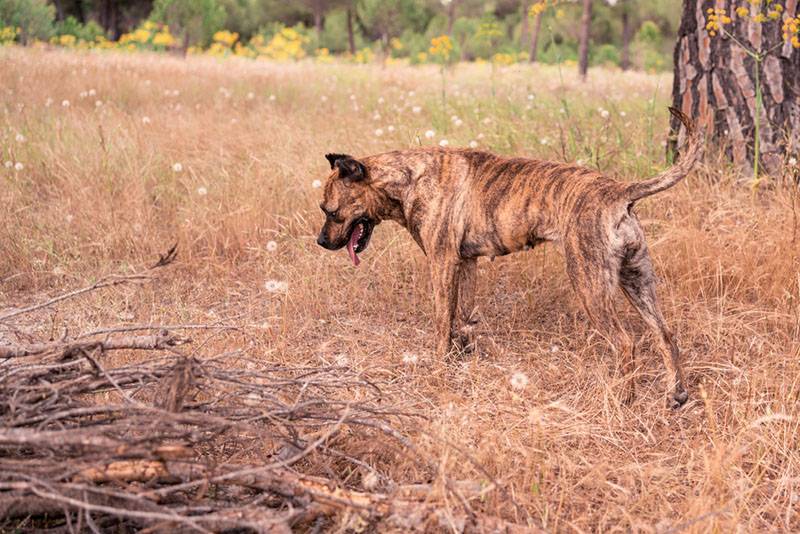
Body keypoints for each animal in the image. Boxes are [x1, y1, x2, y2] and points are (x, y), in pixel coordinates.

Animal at [318, 109, 700, 410]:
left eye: (330, 211)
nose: (320, 242)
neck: (408, 177)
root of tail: (619, 192)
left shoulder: (442, 263)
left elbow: (442, 321)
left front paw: (440, 365)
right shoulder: (466, 264)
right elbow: (464, 318)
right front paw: (463, 356)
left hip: (590, 283)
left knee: (625, 343)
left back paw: (623, 399)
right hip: (637, 281)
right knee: (665, 335)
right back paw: (676, 394)